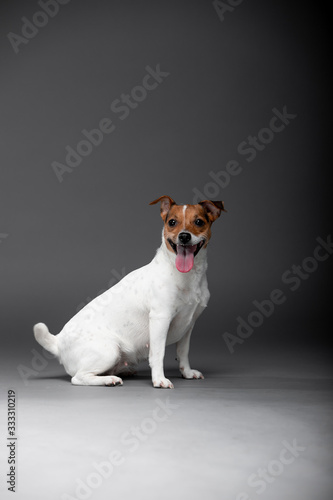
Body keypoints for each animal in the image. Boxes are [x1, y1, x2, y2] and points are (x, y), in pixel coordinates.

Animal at [33, 195, 224, 386]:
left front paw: (187, 373)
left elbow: (183, 353)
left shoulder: (188, 325)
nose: (184, 236)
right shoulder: (160, 319)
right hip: (109, 350)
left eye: (199, 222)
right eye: (172, 222)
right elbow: (158, 354)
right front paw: (159, 379)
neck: (187, 276)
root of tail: (58, 342)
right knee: (78, 378)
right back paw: (109, 379)